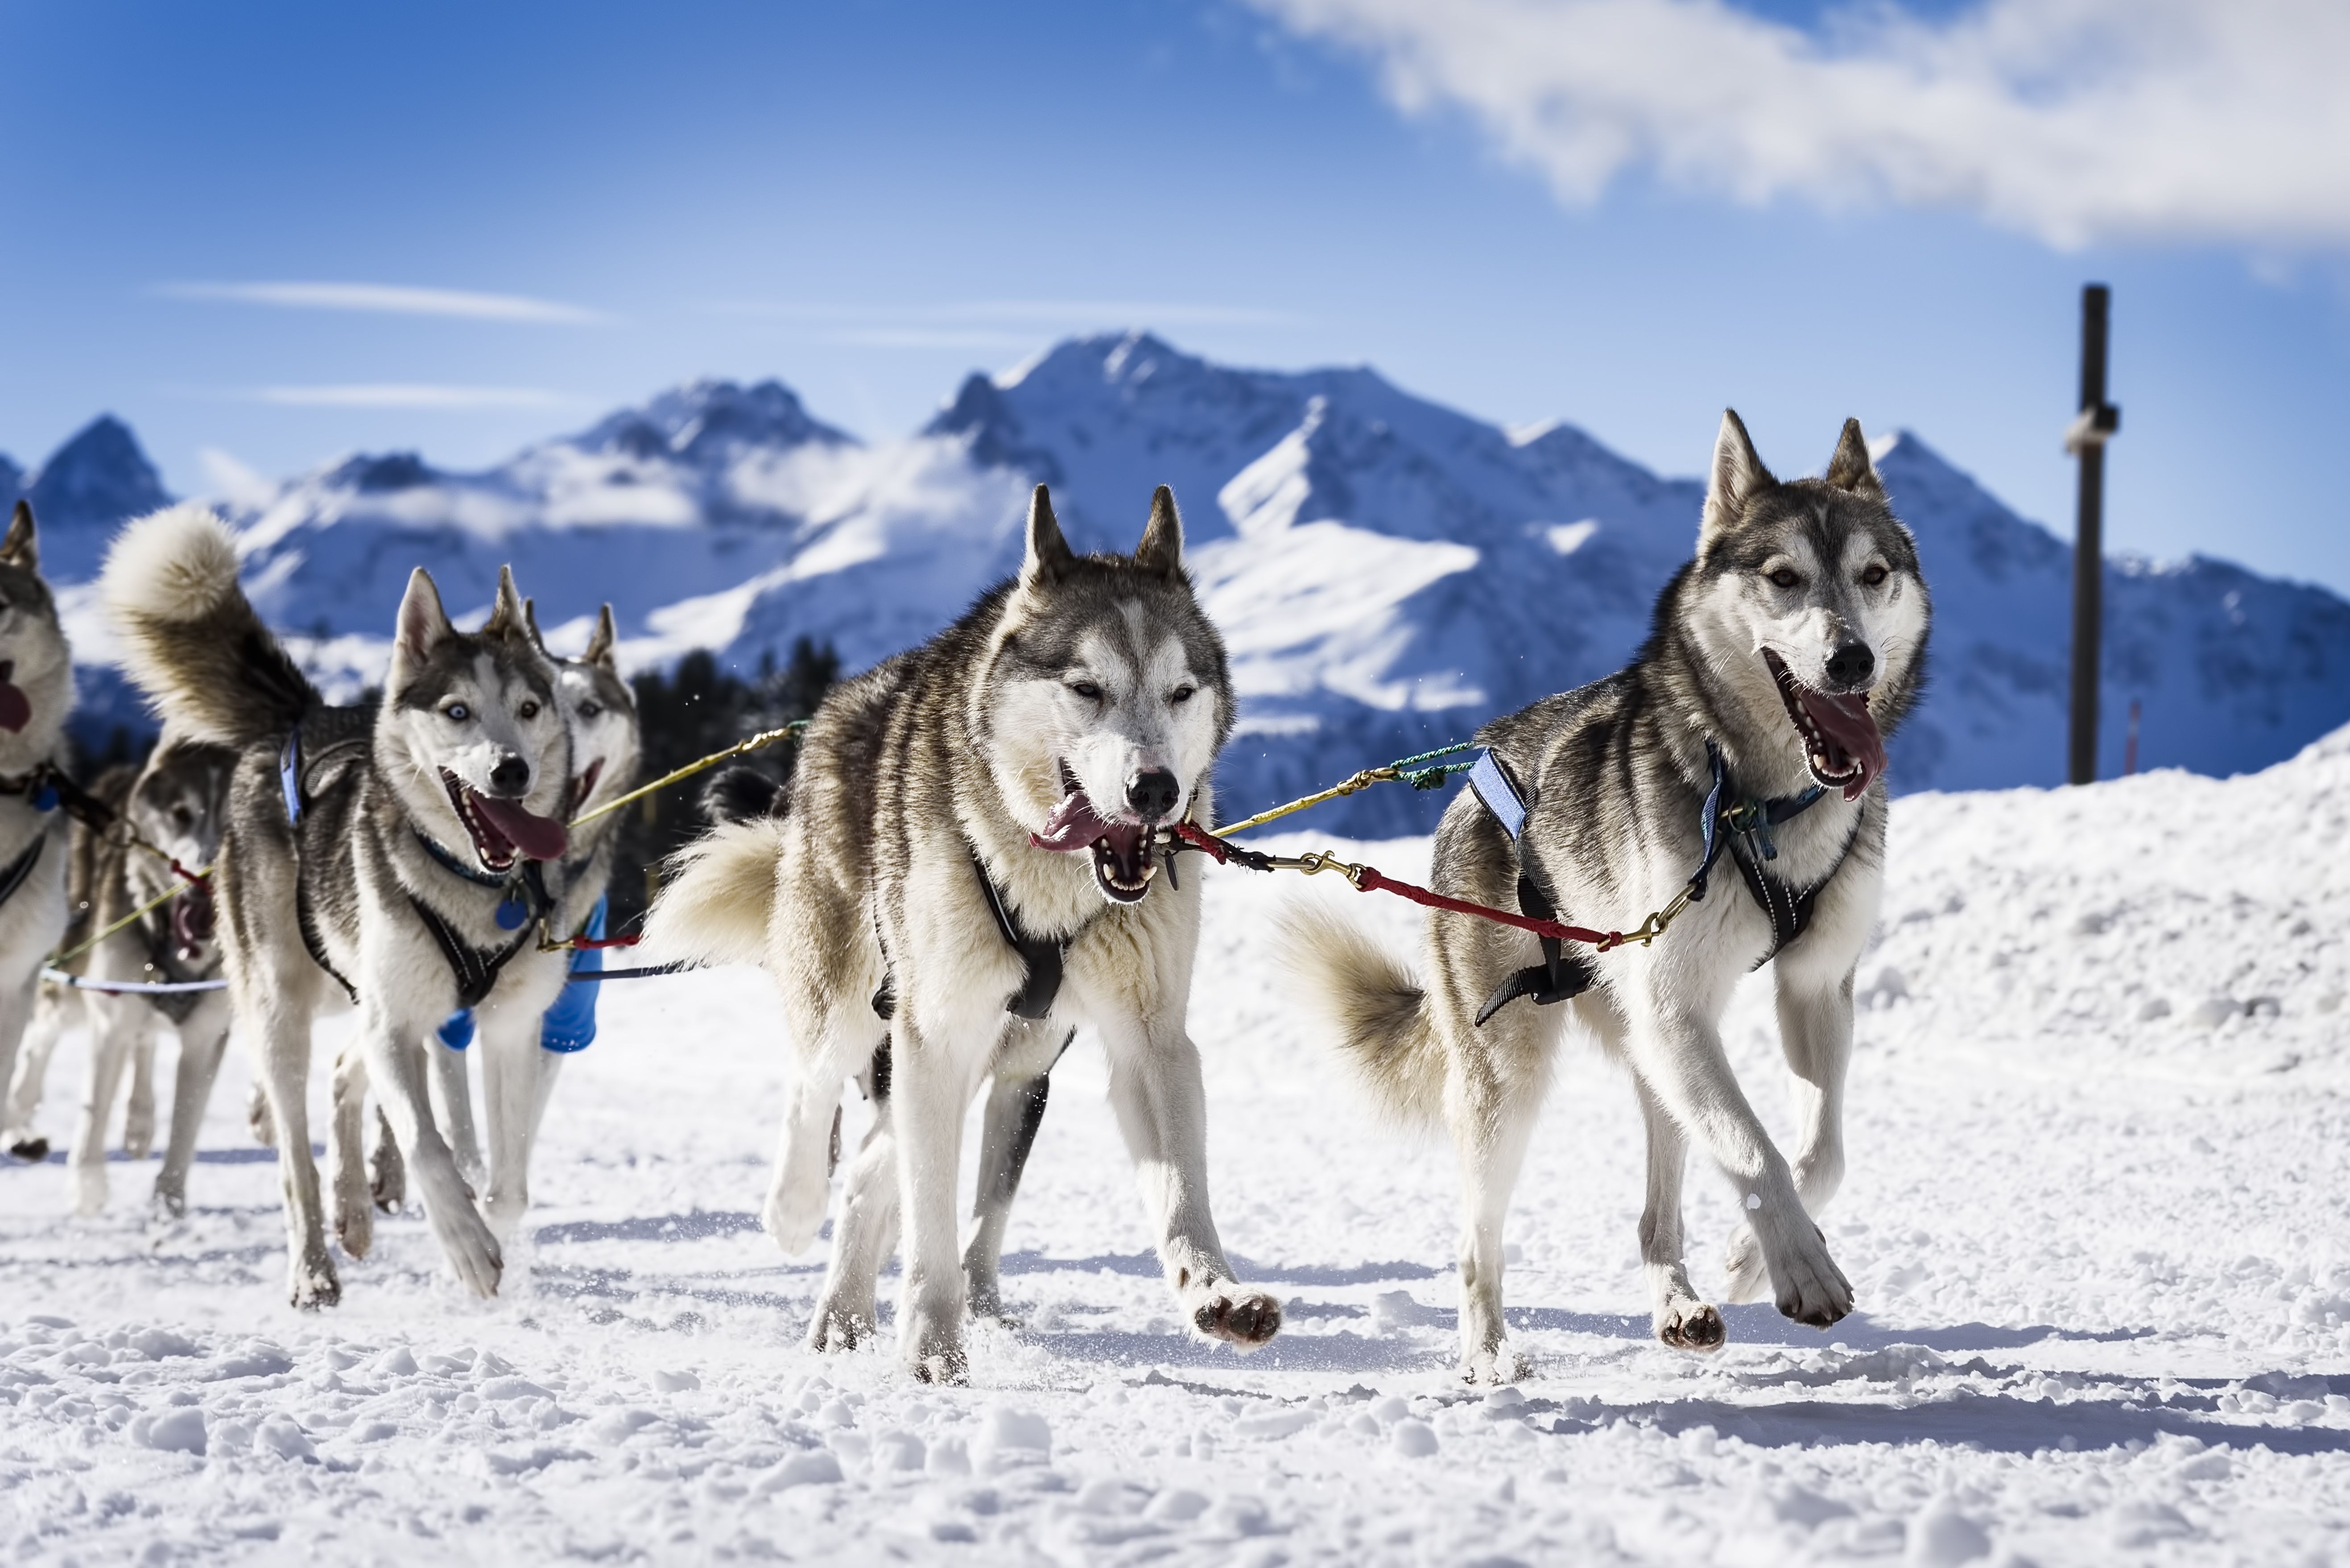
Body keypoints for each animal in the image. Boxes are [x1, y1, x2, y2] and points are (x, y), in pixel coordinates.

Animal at [4, 729, 235, 1222]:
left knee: (143, 1044)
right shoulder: (108, 1020)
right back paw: (21, 1111)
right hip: (71, 988)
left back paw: (140, 1121)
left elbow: (186, 1124)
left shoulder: (207, 1035)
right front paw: (88, 1188)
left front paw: (169, 1206)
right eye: (181, 814)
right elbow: (94, 1111)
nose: (202, 883)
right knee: (41, 1040)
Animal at [101, 505, 578, 1316]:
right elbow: (427, 1143)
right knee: (298, 1157)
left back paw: (356, 1203)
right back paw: (314, 1267)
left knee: (342, 1075)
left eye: (527, 708)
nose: (511, 771)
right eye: (456, 711)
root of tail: (303, 719)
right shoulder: (397, 1025)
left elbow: (507, 1181)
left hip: (354, 989)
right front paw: (466, 1248)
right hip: (284, 1008)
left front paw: (493, 1238)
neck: (469, 883)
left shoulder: (508, 1028)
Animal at [644, 484, 1288, 1382]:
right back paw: (795, 1211)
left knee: (874, 1163)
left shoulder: (1149, 1040)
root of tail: (835, 711)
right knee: (818, 1096)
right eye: (1085, 688)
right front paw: (933, 1343)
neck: (1049, 882)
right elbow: (931, 1218)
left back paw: (844, 1311)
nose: (1154, 790)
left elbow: (1178, 1193)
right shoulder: (938, 1034)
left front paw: (1214, 1291)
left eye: (1181, 692)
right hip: (853, 997)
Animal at [1288, 416, 1927, 1382]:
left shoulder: (1813, 990)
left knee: (1656, 1213)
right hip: (1511, 1066)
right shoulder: (1675, 1006)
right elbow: (1753, 1148)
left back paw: (1678, 1301)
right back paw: (1487, 1356)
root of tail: (1472, 774)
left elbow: (1819, 1155)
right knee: (1476, 1241)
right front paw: (1801, 1269)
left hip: (1646, 1046)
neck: (1759, 803)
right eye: (1782, 577)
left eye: (1872, 574)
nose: (1849, 659)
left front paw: (1750, 1261)